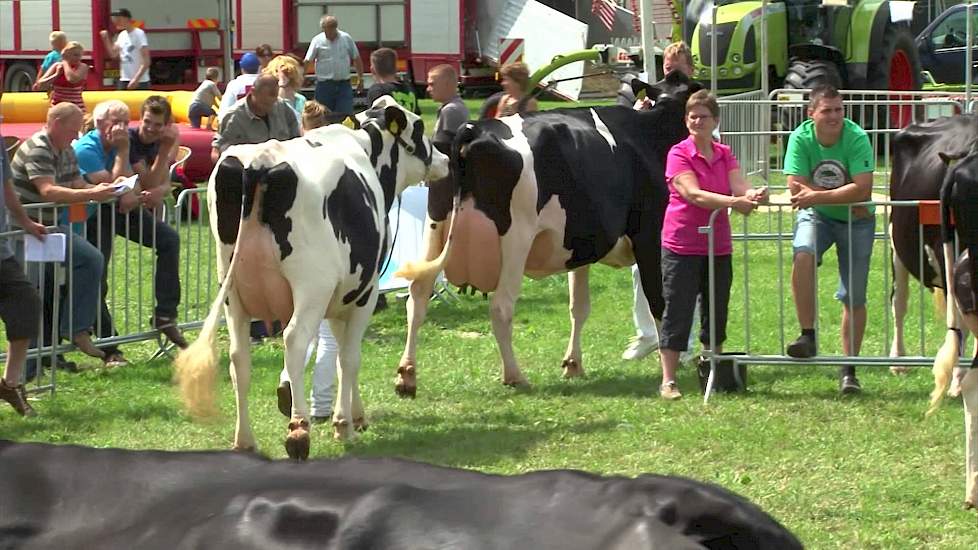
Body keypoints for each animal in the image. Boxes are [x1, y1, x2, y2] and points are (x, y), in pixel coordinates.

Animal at [173, 97, 448, 460]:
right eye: (418, 129)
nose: (445, 160)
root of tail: (260, 161)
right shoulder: (364, 292)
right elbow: (349, 357)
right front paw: (344, 424)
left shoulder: (338, 297)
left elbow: (336, 351)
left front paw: (353, 414)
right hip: (310, 286)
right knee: (293, 339)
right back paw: (298, 432)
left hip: (234, 292)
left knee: (238, 356)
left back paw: (245, 439)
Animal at [392, 72, 696, 392]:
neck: (651, 131)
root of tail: (473, 129)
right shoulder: (650, 236)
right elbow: (659, 300)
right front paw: (672, 362)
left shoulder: (581, 246)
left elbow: (579, 306)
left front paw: (573, 364)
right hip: (516, 239)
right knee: (501, 306)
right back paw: (515, 375)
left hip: (434, 232)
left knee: (418, 296)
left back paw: (407, 375)